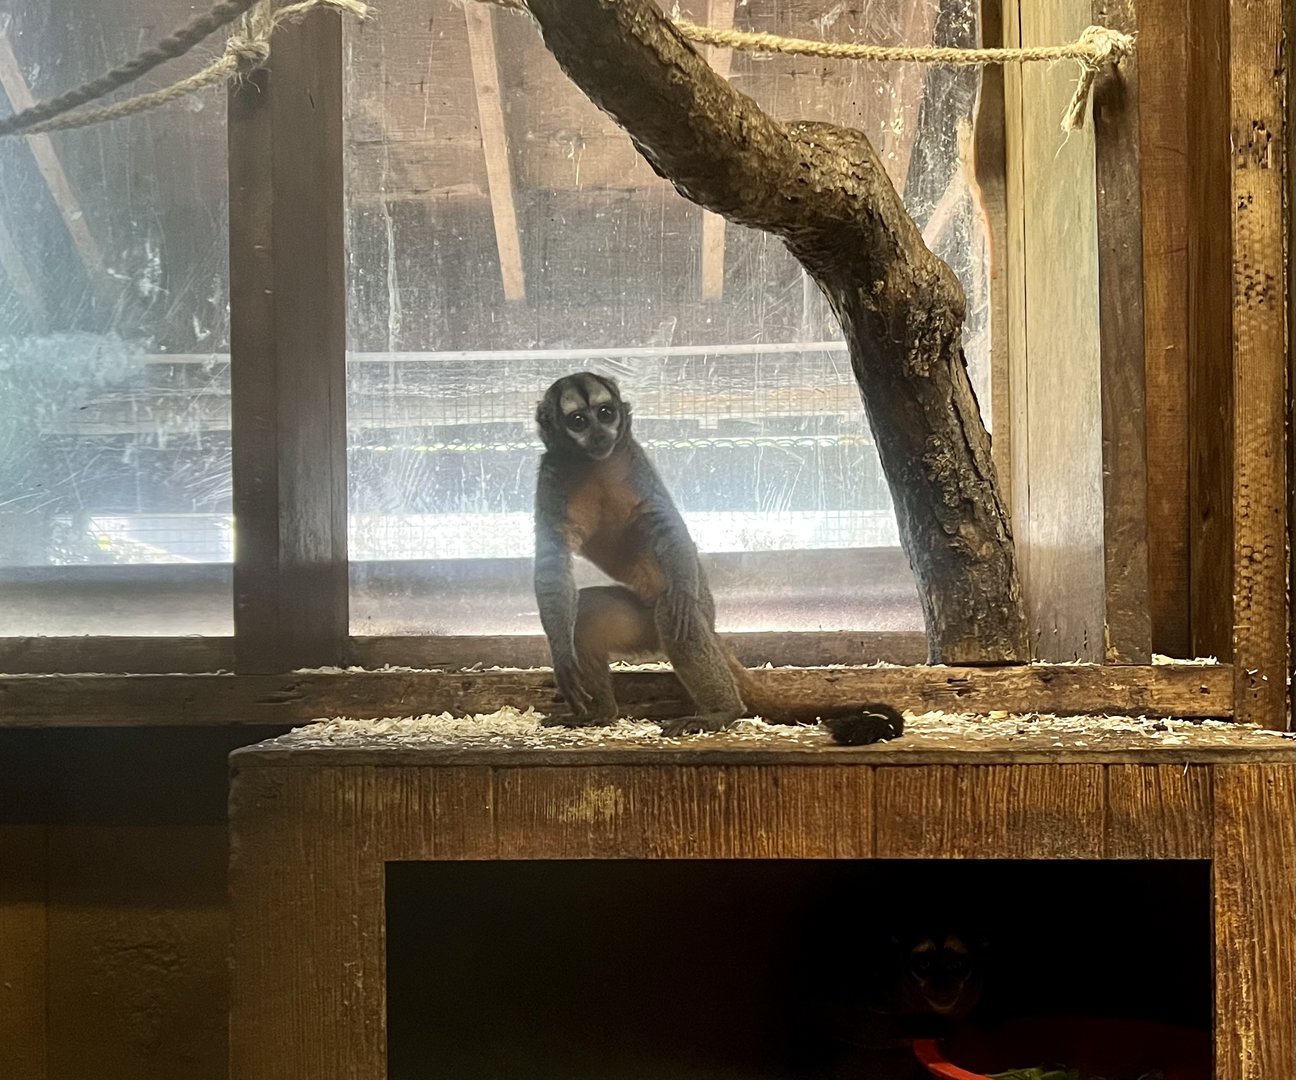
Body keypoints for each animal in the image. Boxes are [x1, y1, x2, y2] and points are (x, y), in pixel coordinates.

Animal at [532, 371, 905, 746]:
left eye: (605, 413)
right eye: (578, 421)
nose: (599, 433)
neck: (592, 465)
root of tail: (712, 627)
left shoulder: (635, 464)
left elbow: (665, 523)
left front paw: (682, 590)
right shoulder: (551, 478)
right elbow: (552, 562)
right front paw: (562, 656)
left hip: (695, 614)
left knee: (672, 615)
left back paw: (721, 711)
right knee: (589, 611)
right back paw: (601, 714)